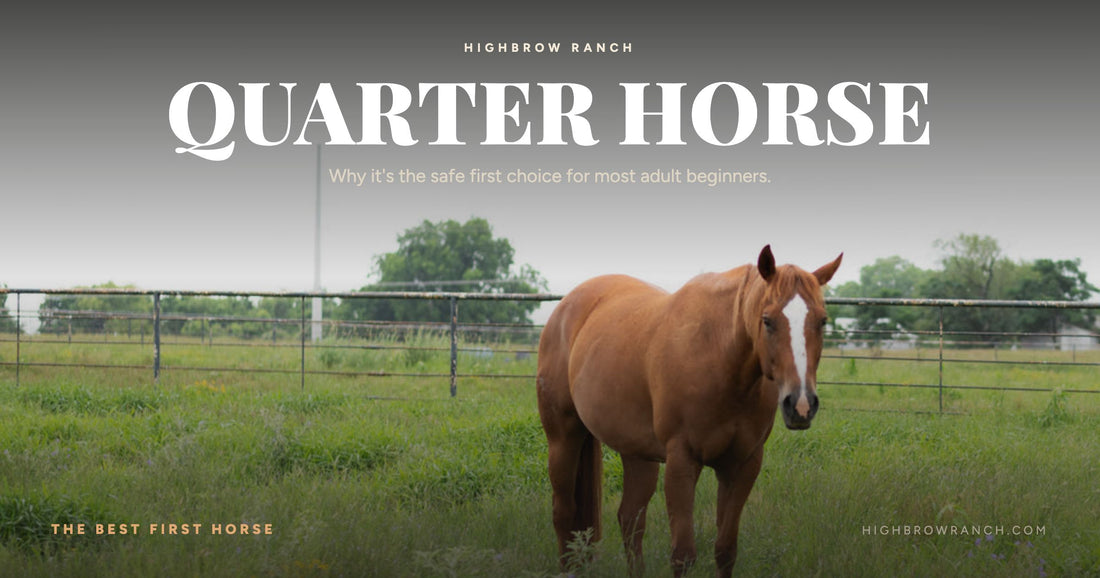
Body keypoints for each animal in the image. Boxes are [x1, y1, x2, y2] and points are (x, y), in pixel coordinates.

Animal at [536, 245, 842, 577]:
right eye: (767, 320)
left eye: (822, 321)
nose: (801, 404)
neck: (719, 356)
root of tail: (566, 307)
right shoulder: (682, 462)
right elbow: (683, 555)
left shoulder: (742, 465)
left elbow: (725, 550)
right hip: (563, 439)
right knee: (564, 513)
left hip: (637, 454)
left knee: (630, 521)